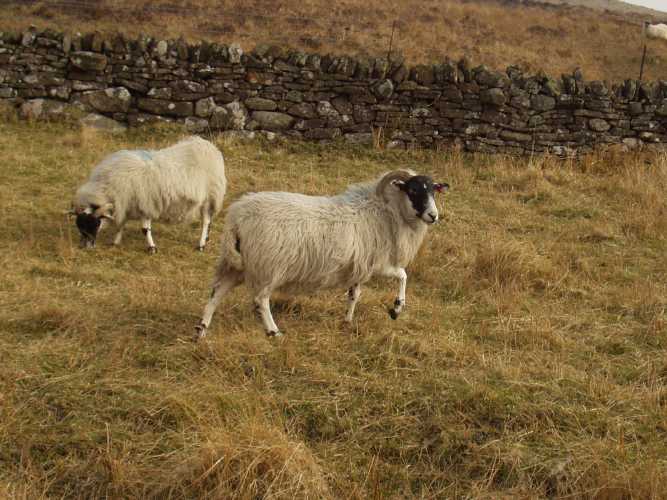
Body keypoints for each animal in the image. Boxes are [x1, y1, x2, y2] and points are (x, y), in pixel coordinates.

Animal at [70, 136, 227, 253]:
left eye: (94, 224)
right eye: (80, 226)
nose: (85, 247)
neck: (108, 187)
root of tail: (208, 146)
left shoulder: (145, 204)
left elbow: (145, 229)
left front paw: (152, 248)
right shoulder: (126, 204)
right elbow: (121, 225)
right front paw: (116, 242)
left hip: (209, 197)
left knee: (206, 221)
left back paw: (201, 244)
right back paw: (206, 239)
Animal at [195, 169, 449, 339]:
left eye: (433, 191)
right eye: (413, 190)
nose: (433, 216)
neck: (386, 211)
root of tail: (237, 217)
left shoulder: (360, 265)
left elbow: (354, 294)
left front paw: (347, 321)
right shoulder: (378, 263)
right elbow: (403, 275)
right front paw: (396, 308)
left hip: (238, 263)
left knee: (216, 292)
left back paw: (202, 329)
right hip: (269, 265)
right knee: (260, 300)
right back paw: (273, 331)